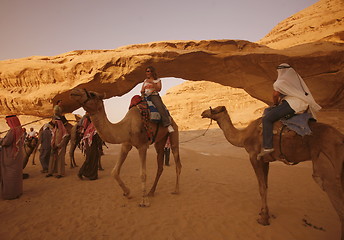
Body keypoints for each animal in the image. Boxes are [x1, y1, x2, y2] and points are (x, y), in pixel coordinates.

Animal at [202, 106, 344, 239]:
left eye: (214, 109)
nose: (203, 113)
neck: (244, 136)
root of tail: (340, 138)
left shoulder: (254, 157)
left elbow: (261, 188)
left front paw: (263, 218)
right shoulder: (265, 160)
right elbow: (266, 185)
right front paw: (264, 213)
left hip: (329, 168)